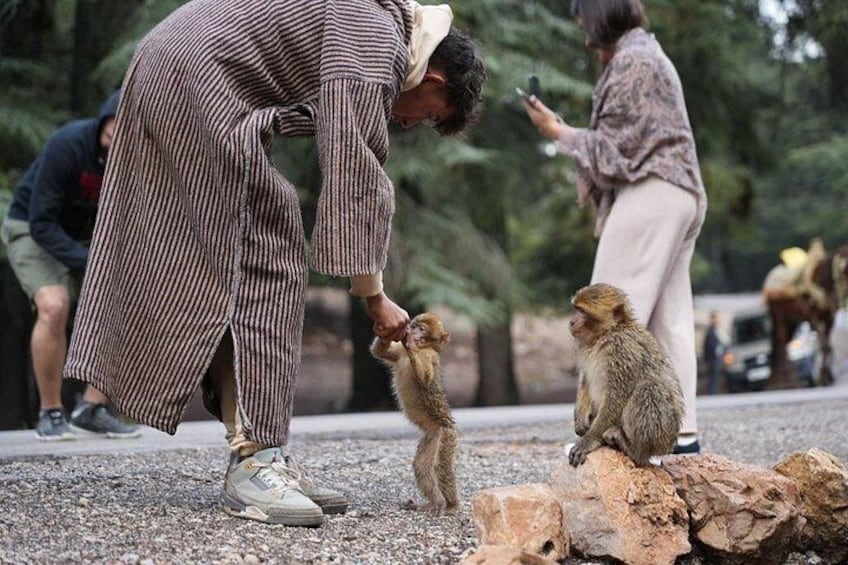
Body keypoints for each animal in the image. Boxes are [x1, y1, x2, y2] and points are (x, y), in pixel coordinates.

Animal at [370, 312, 459, 515]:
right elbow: (378, 352)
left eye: (421, 329)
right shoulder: (399, 353)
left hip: (446, 436)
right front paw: (383, 327)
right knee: (422, 467)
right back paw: (434, 502)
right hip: (431, 438)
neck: (422, 347)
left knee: (441, 467)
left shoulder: (429, 355)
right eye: (415, 324)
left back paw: (452, 505)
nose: (412, 328)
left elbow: (425, 379)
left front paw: (410, 342)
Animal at [568, 283, 684, 467]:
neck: (606, 334)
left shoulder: (622, 349)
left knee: (649, 387)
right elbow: (585, 380)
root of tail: (669, 445)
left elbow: (617, 396)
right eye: (576, 309)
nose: (572, 321)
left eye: (583, 312)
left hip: (663, 436)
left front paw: (589, 440)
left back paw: (634, 449)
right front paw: (580, 418)